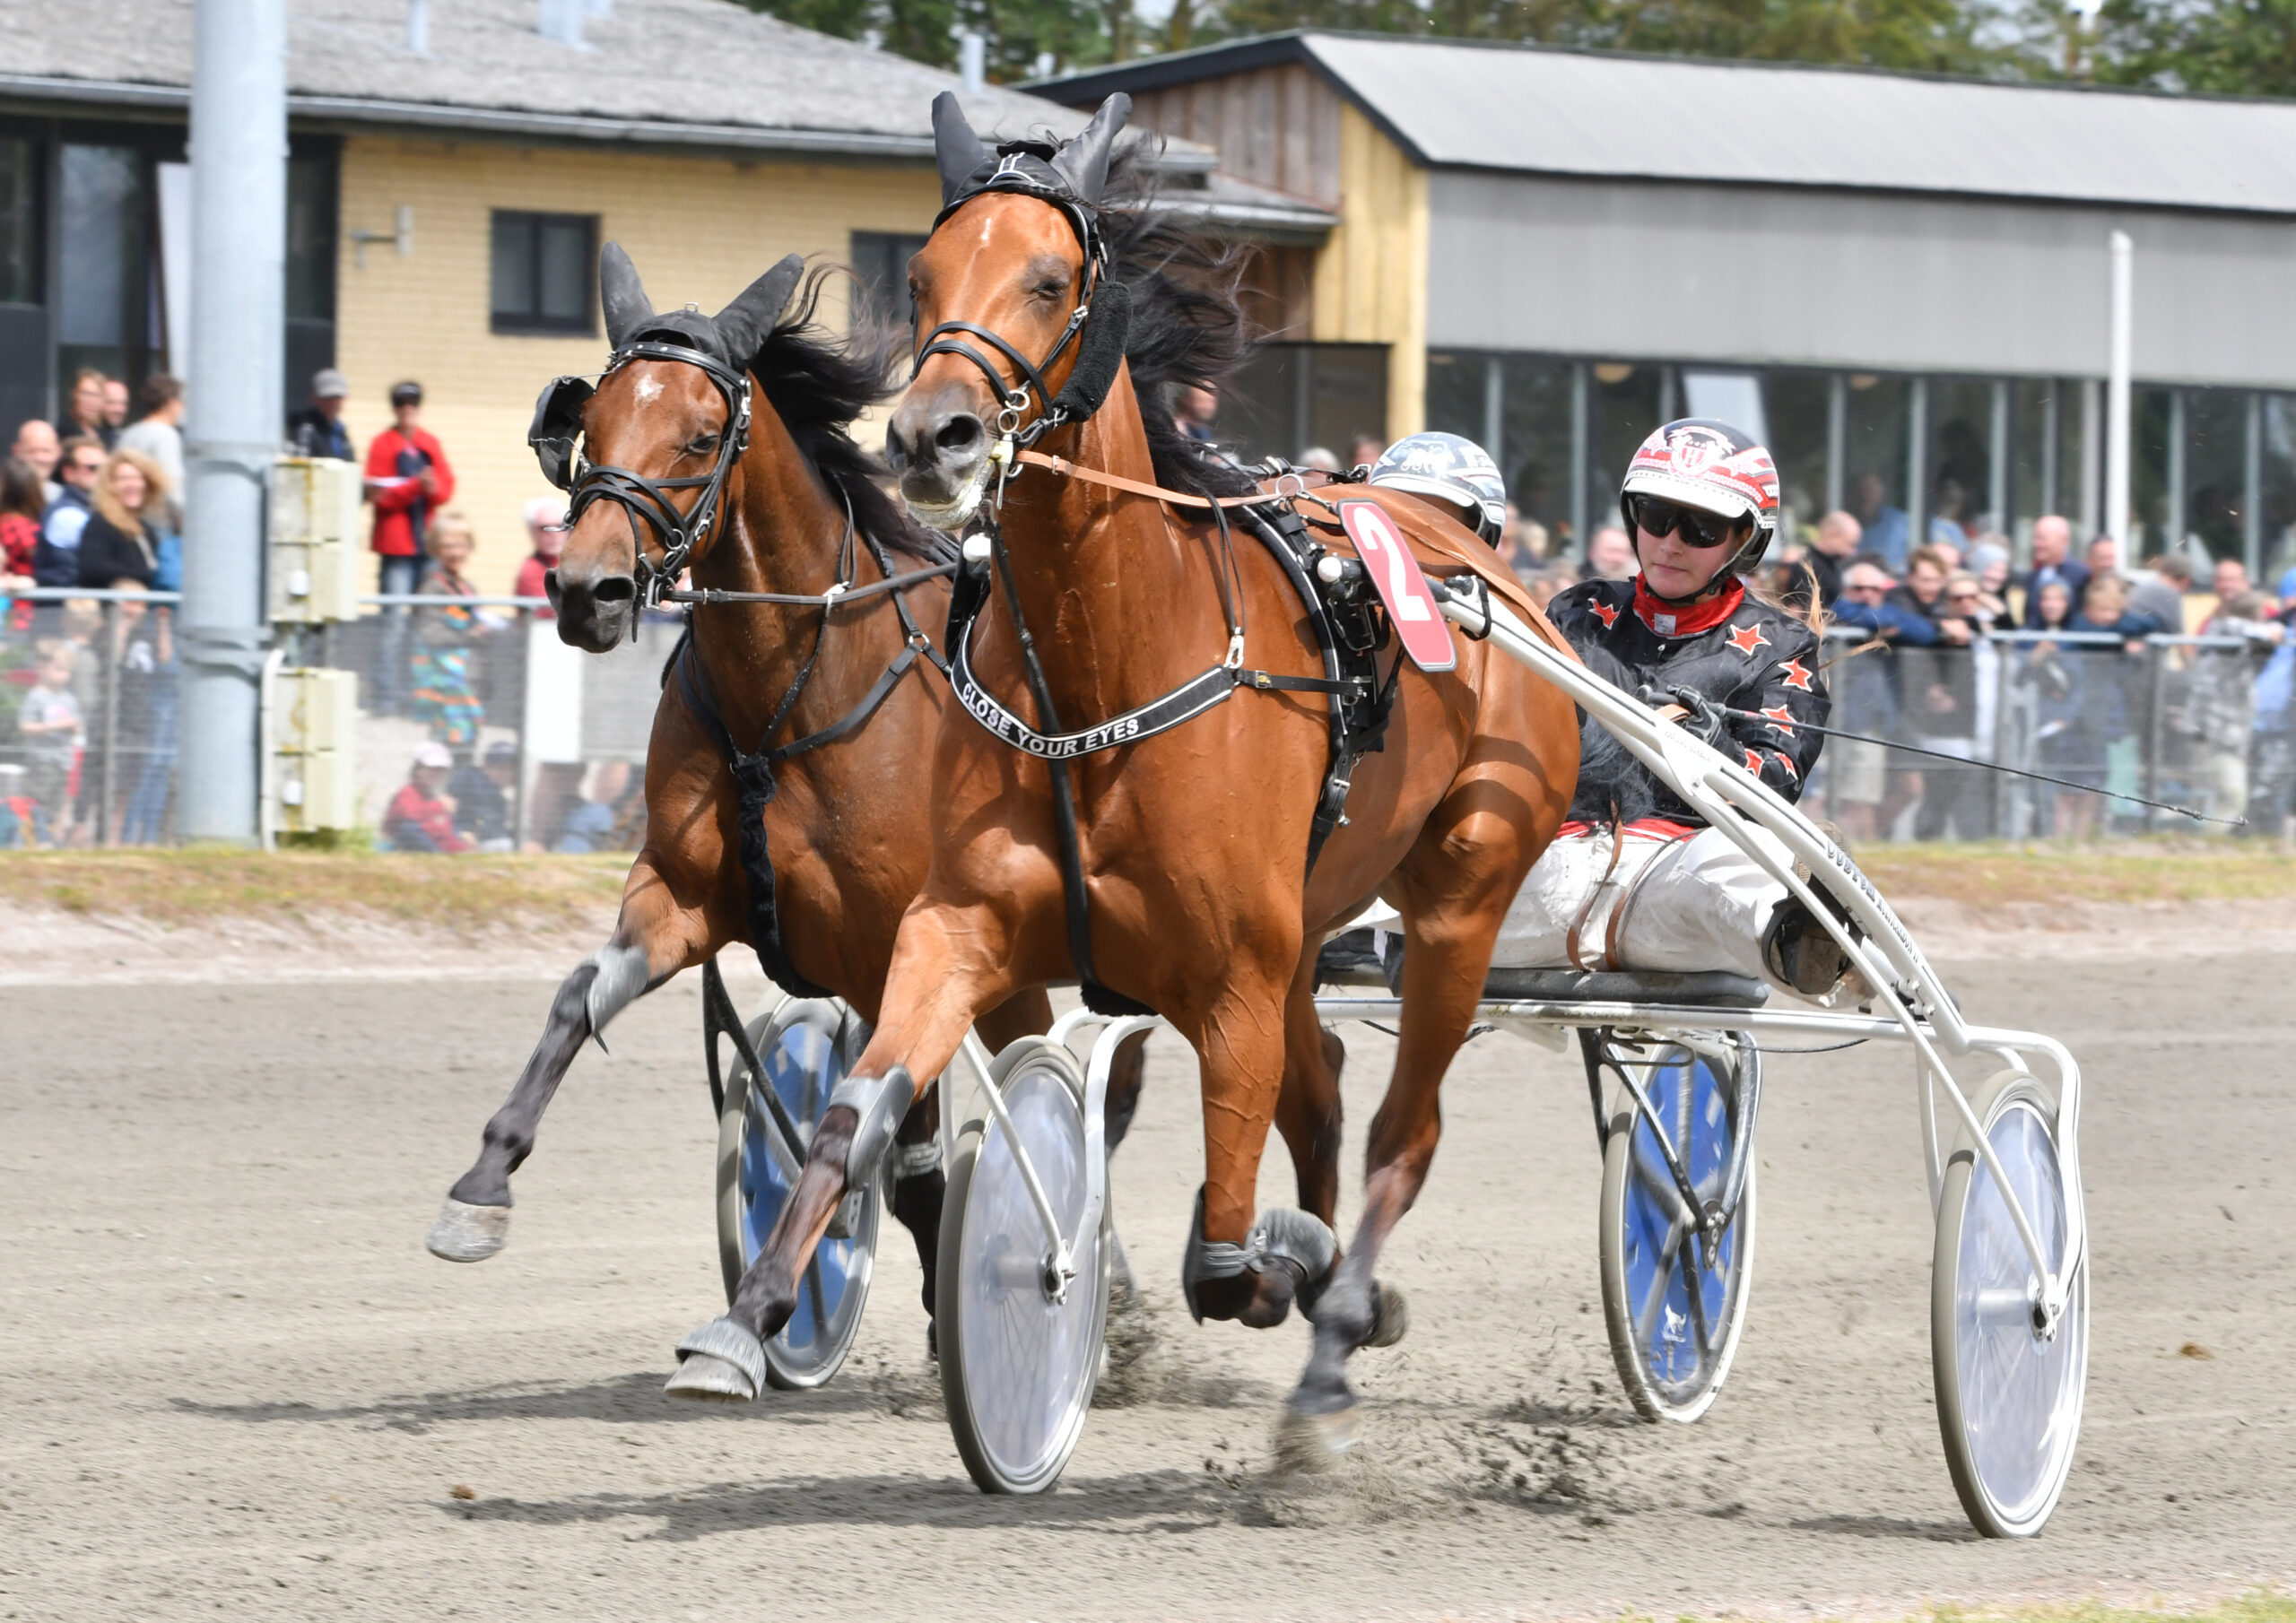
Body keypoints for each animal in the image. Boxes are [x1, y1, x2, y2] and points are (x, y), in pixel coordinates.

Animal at [427, 250, 1134, 1350]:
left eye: (699, 434)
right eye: (591, 427)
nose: (587, 591)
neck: (793, 691)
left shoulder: (903, 946)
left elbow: (887, 1131)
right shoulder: (683, 901)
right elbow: (576, 999)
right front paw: (481, 1187)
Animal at [670, 95, 1579, 1450]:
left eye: (1051, 277)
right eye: (923, 274)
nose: (932, 436)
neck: (1107, 672)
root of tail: (1490, 567)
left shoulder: (1233, 975)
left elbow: (1223, 1258)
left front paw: (1276, 1268)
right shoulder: (960, 925)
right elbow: (856, 1111)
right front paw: (753, 1314)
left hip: (1462, 895)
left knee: (1399, 1128)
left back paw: (1332, 1340)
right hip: (1309, 924)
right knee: (1322, 1093)